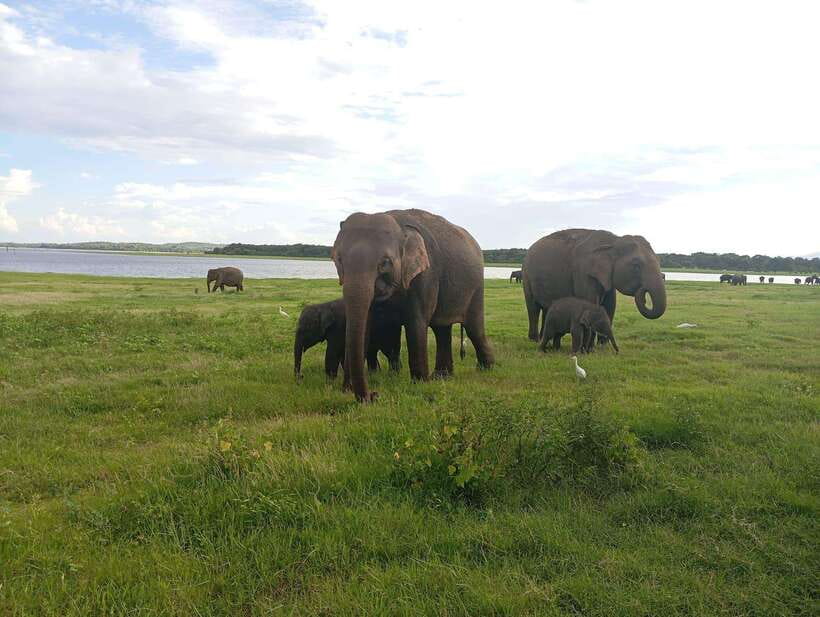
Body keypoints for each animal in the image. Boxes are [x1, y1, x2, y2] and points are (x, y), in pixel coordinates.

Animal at [332, 208, 494, 402]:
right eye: (338, 260)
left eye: (385, 263)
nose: (374, 395)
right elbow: (365, 326)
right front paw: (345, 390)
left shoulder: (426, 274)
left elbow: (416, 323)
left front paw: (420, 384)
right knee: (441, 329)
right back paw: (442, 376)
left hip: (476, 286)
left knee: (473, 329)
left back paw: (486, 368)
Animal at [522, 229, 666, 346]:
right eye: (636, 266)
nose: (643, 292)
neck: (614, 241)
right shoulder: (583, 272)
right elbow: (591, 303)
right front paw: (589, 348)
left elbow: (610, 306)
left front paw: (602, 346)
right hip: (526, 275)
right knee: (533, 308)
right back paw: (535, 340)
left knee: (546, 308)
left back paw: (544, 338)